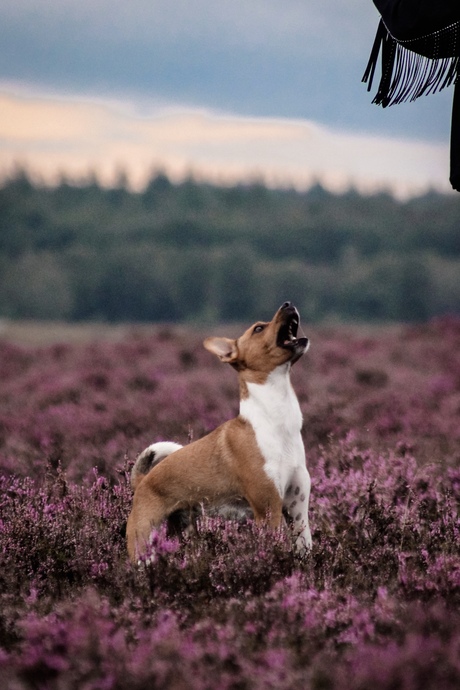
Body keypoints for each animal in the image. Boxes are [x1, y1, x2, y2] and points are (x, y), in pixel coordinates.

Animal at [127, 300, 310, 560]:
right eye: (258, 328)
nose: (288, 303)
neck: (277, 422)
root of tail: (142, 480)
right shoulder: (268, 509)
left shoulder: (297, 509)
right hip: (143, 548)